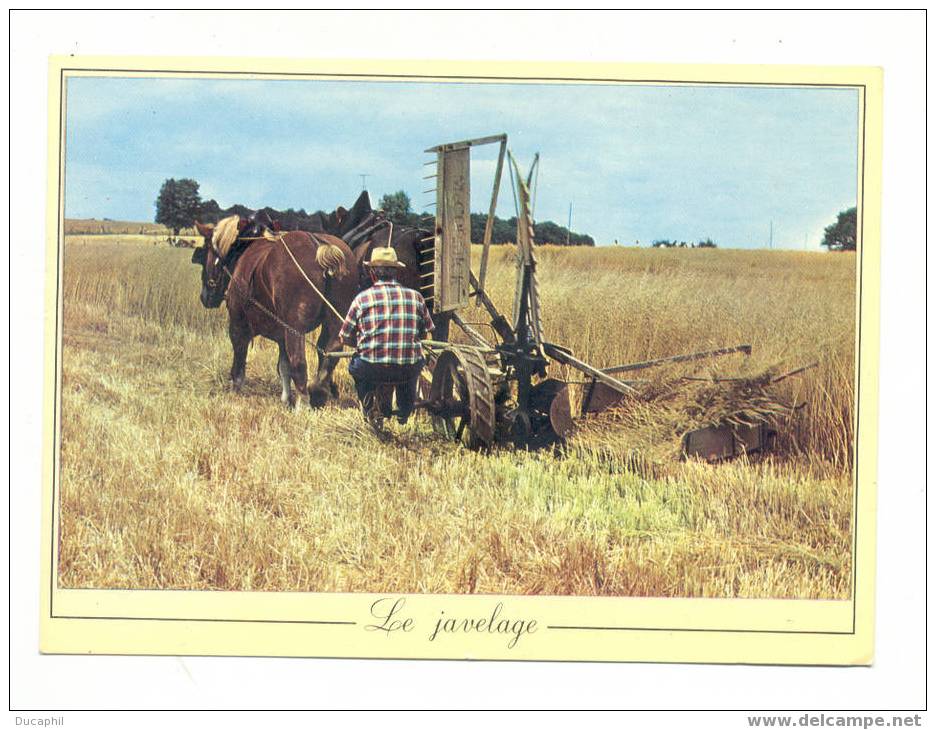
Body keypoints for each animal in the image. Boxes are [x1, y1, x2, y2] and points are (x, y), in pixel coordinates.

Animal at [191, 215, 358, 410]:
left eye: (205, 253)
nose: (205, 297)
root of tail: (319, 245)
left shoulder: (238, 323)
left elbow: (239, 357)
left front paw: (235, 389)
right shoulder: (281, 333)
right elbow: (283, 366)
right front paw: (285, 398)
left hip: (295, 329)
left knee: (299, 361)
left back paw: (304, 403)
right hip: (335, 322)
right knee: (329, 352)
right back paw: (319, 390)